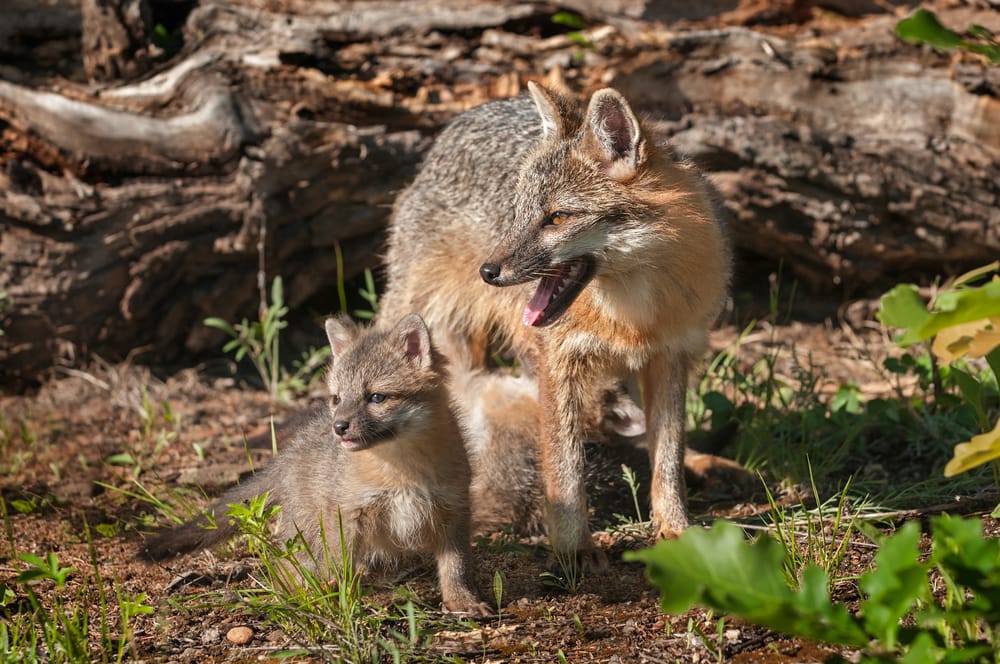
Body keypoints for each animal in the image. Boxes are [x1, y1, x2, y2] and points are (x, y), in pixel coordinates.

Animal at [140, 313, 490, 616]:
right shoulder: (347, 516)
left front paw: (462, 601)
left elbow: (456, 567)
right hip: (307, 534)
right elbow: (339, 564)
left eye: (376, 397)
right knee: (285, 568)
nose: (339, 427)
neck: (400, 472)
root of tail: (290, 451)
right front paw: (340, 599)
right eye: (337, 398)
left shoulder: (454, 509)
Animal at [378, 83, 731, 566]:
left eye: (558, 217)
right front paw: (574, 549)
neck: (633, 314)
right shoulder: (558, 361)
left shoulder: (670, 356)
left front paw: (676, 529)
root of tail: (469, 114)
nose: (487, 272)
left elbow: (667, 459)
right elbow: (565, 467)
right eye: (517, 212)